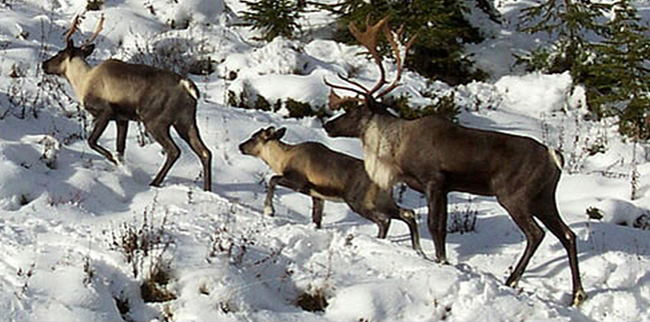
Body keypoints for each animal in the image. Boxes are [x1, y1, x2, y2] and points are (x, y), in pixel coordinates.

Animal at [41, 15, 213, 191]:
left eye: (60, 54)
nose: (44, 64)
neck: (82, 82)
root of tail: (187, 86)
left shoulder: (106, 112)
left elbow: (92, 141)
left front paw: (113, 159)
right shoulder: (122, 118)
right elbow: (120, 147)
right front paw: (121, 165)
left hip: (155, 120)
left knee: (174, 151)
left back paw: (154, 182)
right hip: (185, 121)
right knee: (205, 152)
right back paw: (207, 189)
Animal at [238, 126, 420, 254]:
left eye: (254, 137)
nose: (240, 146)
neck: (281, 160)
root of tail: (387, 182)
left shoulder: (298, 182)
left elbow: (272, 179)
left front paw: (269, 210)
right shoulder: (317, 196)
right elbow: (316, 219)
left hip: (359, 201)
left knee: (385, 220)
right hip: (383, 200)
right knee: (407, 213)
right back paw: (419, 250)